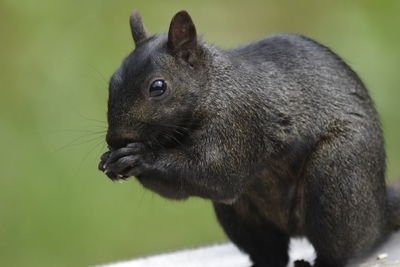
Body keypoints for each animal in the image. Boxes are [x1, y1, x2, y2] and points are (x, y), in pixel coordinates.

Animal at [97, 10, 400, 267]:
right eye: (111, 82)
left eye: (158, 87)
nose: (115, 139)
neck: (214, 87)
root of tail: (381, 209)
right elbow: (180, 189)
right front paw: (109, 161)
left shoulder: (238, 123)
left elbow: (216, 172)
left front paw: (139, 157)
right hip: (242, 216)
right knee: (269, 251)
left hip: (337, 179)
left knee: (343, 248)